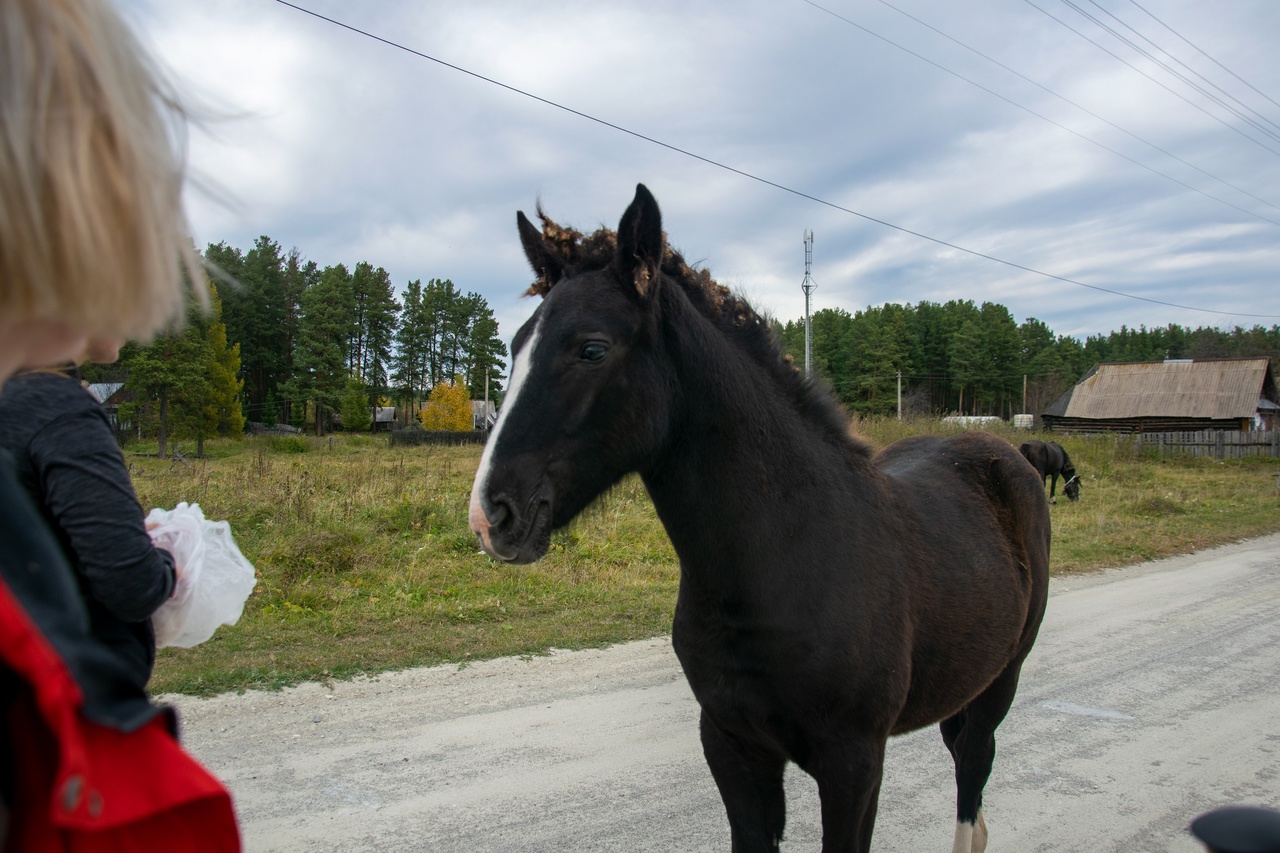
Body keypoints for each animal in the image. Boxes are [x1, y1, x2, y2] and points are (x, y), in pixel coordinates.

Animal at [471, 185, 1049, 850]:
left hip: (999, 683)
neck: (781, 568)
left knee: (971, 775)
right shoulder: (733, 747)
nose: (490, 514)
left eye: (591, 348)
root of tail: (1014, 453)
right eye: (515, 348)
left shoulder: (854, 764)